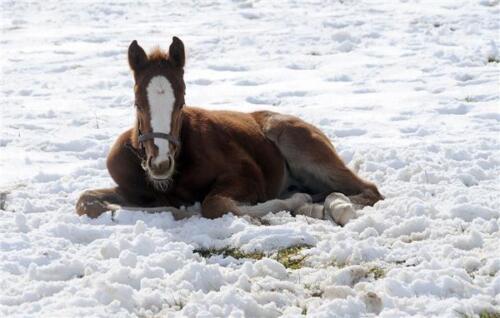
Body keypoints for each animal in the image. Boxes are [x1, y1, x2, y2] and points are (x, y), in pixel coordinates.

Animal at [76, 37, 384, 225]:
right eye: (137, 103)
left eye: (182, 102)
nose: (160, 164)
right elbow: (86, 202)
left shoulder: (248, 177)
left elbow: (214, 205)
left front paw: (298, 201)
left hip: (301, 149)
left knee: (369, 190)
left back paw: (328, 205)